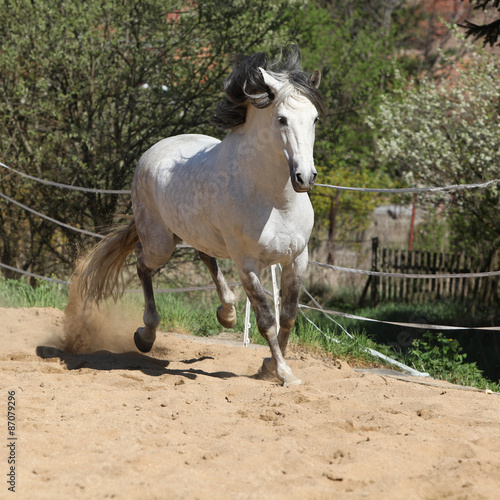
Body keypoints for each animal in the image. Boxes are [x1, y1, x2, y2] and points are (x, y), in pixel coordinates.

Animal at [76, 47, 322, 384]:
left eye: (314, 118)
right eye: (282, 119)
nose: (305, 177)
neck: (276, 202)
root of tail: (153, 151)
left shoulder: (297, 258)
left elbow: (288, 316)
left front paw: (270, 368)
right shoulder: (247, 264)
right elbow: (266, 319)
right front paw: (284, 372)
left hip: (197, 233)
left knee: (205, 256)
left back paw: (228, 313)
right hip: (160, 243)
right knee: (142, 263)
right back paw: (146, 334)